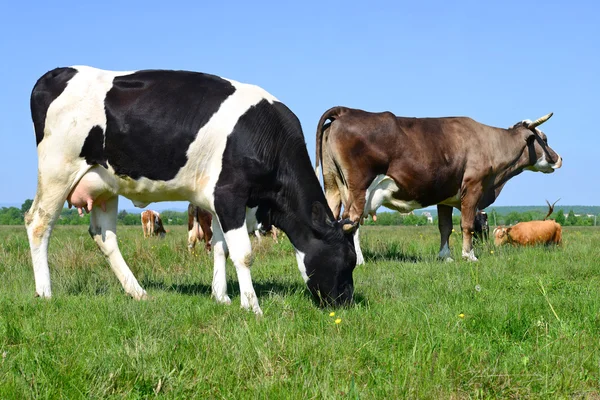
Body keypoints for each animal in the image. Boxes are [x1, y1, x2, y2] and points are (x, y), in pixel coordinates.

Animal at [27, 66, 356, 316]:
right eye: (346, 260)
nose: (346, 303)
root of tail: (59, 72)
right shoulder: (230, 194)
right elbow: (243, 254)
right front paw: (252, 307)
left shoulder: (218, 202)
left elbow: (221, 248)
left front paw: (221, 296)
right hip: (57, 171)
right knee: (38, 224)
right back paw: (45, 292)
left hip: (104, 185)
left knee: (104, 237)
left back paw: (138, 292)